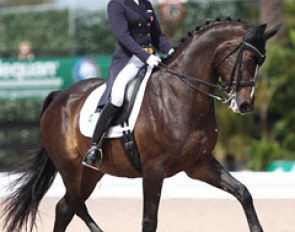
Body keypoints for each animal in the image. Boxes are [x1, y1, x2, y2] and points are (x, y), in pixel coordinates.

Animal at [1, 18, 280, 232]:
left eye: (262, 61)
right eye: (248, 59)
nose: (244, 105)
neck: (181, 95)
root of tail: (60, 97)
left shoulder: (199, 164)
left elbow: (243, 192)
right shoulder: (153, 168)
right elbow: (149, 221)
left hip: (91, 172)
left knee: (65, 207)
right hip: (70, 169)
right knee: (75, 204)